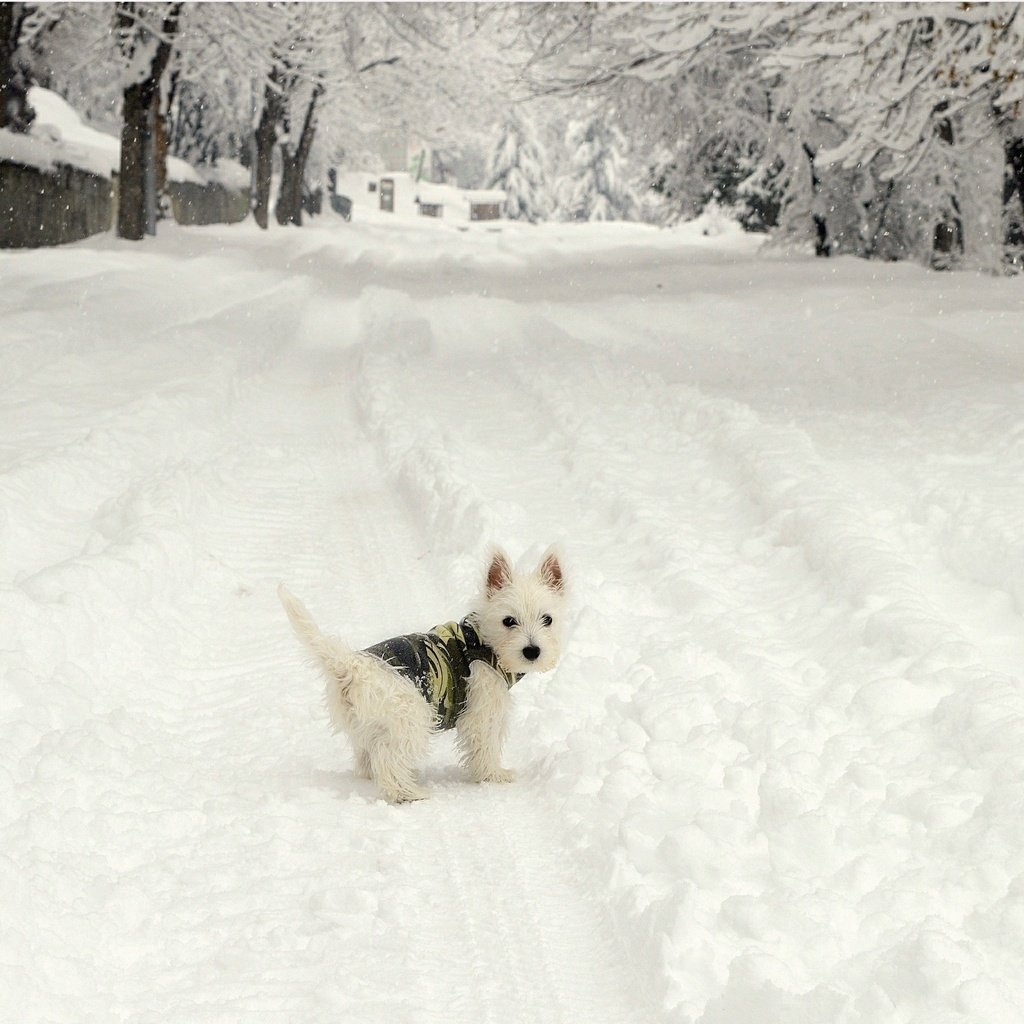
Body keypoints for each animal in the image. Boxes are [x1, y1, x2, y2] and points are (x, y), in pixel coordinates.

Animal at [280, 548, 565, 802]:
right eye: (508, 620)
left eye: (547, 619)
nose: (532, 651)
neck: (484, 641)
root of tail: (351, 665)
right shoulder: (482, 709)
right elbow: (486, 743)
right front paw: (493, 775)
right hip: (411, 715)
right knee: (388, 757)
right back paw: (409, 792)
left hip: (368, 724)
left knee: (368, 756)